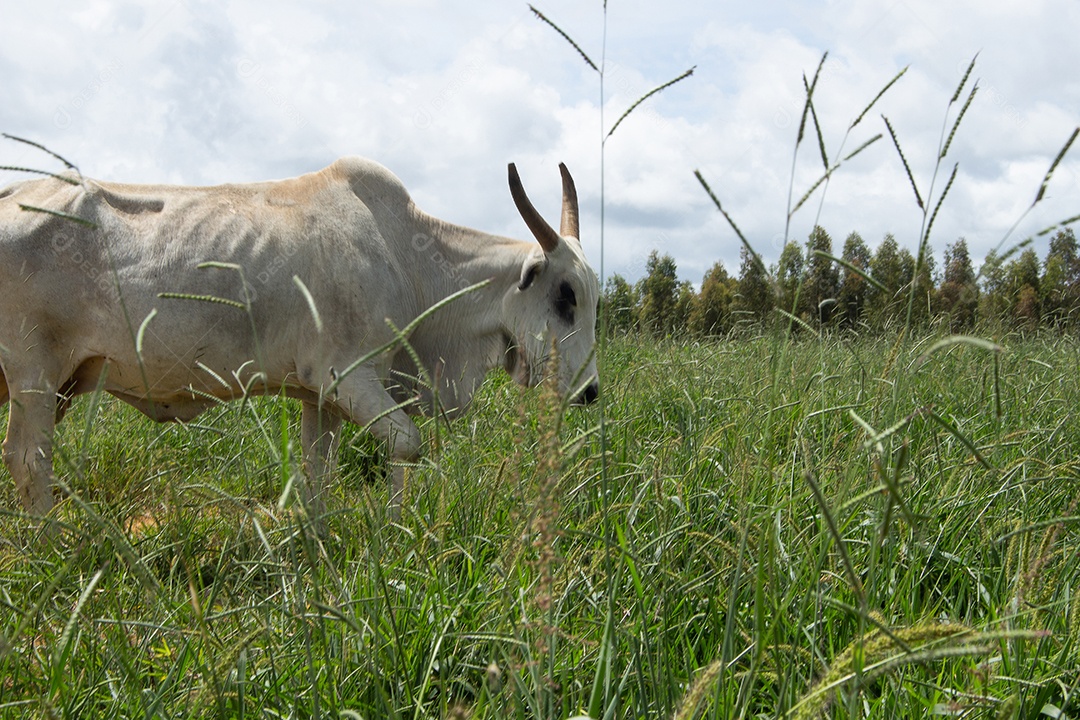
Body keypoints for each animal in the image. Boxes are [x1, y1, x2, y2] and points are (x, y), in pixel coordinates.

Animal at [0, 157, 600, 518]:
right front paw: (399, 537)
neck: (407, 258)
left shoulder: (319, 396)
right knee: (30, 463)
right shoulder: (350, 377)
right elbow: (408, 444)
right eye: (566, 295)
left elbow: (318, 475)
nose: (591, 391)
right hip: (34, 375)